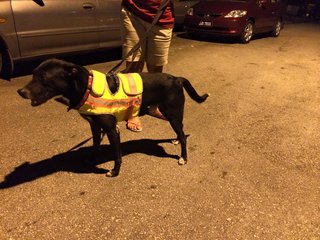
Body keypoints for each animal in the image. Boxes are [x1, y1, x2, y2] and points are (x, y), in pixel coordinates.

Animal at [17, 59, 209, 177]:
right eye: (33, 73)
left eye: (44, 77)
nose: (20, 92)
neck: (86, 87)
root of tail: (176, 78)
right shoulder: (94, 126)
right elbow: (95, 146)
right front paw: (92, 159)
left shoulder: (111, 129)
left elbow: (117, 155)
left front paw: (115, 172)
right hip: (166, 114)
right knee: (181, 131)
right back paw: (176, 140)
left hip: (172, 113)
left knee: (183, 136)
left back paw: (183, 157)